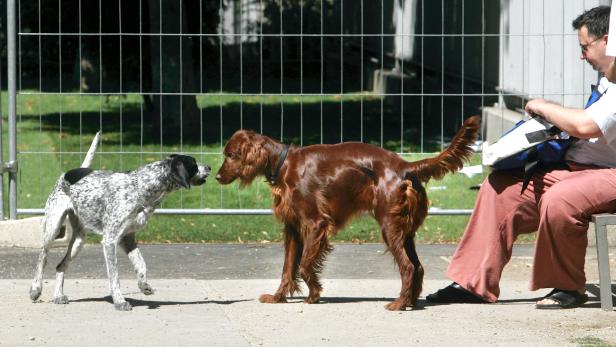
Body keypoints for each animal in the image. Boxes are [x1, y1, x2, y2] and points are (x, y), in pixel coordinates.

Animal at [29, 135, 212, 312]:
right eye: (194, 163)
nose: (209, 166)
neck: (139, 188)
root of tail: (67, 173)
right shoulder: (110, 241)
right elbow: (114, 276)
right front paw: (119, 301)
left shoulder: (128, 238)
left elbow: (141, 264)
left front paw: (144, 286)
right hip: (52, 229)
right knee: (42, 258)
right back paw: (35, 289)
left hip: (78, 241)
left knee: (61, 266)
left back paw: (58, 296)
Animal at [217, 116, 482, 310]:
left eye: (231, 155)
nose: (217, 176)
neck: (284, 164)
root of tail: (406, 166)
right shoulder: (292, 228)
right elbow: (288, 268)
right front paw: (277, 297)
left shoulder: (316, 224)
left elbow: (304, 265)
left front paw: (314, 295)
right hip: (405, 231)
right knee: (417, 266)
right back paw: (410, 301)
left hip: (389, 226)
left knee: (408, 266)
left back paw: (398, 303)